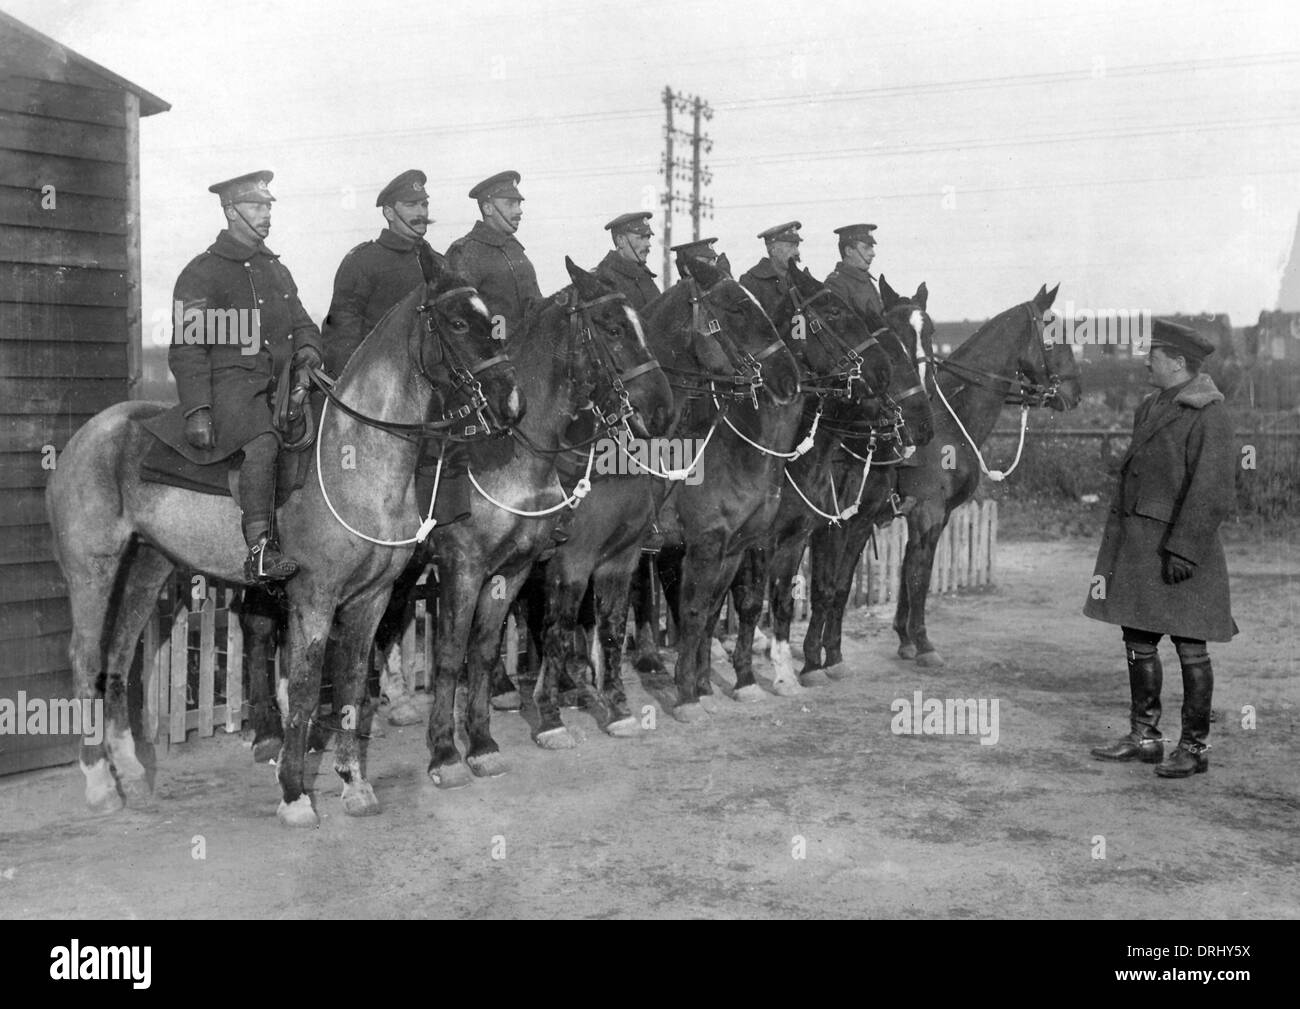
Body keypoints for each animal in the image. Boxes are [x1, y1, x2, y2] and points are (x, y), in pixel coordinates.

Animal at [44, 271, 522, 821]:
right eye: (459, 322)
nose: (512, 403)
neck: (353, 454)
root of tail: (87, 436)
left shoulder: (371, 598)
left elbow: (352, 682)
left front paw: (354, 784)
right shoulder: (315, 598)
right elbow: (308, 687)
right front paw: (294, 792)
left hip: (148, 567)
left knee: (119, 658)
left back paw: (132, 773)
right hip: (93, 570)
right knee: (84, 657)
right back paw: (100, 783)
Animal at [423, 256, 670, 785]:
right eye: (614, 327)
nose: (661, 407)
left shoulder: (618, 560)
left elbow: (609, 628)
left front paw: (616, 709)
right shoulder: (567, 562)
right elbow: (555, 630)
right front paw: (551, 717)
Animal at [722, 263, 935, 696]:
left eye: (930, 334)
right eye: (834, 314)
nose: (923, 424)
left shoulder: (842, 526)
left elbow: (829, 589)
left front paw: (822, 659)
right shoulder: (789, 535)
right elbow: (757, 599)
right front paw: (761, 671)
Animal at [806, 283, 1081, 676]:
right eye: (1054, 335)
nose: (1075, 393)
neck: (948, 422)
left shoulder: (928, 516)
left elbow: (908, 573)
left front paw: (904, 639)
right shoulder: (928, 514)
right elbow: (919, 578)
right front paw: (923, 644)